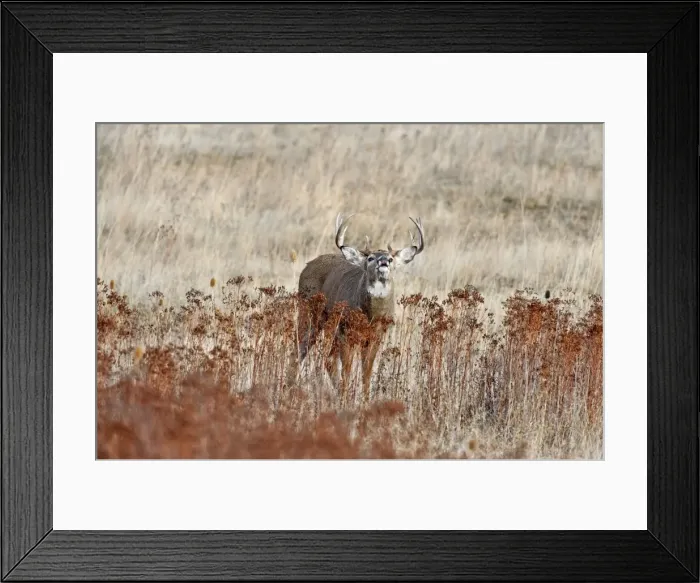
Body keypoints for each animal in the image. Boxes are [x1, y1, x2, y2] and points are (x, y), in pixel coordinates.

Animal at [295, 212, 425, 403]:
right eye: (370, 258)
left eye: (391, 258)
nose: (383, 261)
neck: (370, 316)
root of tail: (307, 266)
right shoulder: (346, 331)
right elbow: (347, 369)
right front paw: (345, 400)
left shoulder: (377, 336)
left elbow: (366, 371)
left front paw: (364, 400)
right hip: (310, 312)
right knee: (300, 350)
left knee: (327, 359)